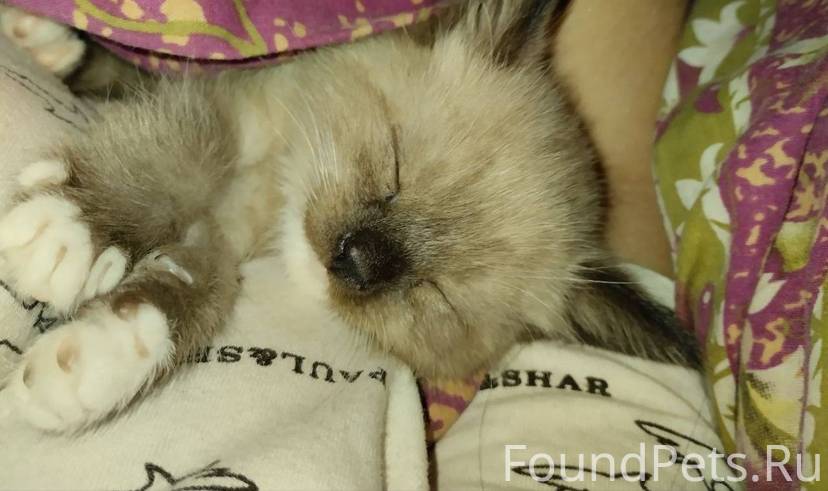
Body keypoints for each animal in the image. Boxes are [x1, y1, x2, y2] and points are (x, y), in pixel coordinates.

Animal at [0, 0, 699, 432]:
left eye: (436, 293)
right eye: (393, 168)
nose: (354, 260)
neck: (270, 201)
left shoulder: (223, 244)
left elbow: (190, 292)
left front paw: (91, 364)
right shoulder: (225, 113)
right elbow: (174, 155)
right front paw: (66, 234)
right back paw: (44, 40)